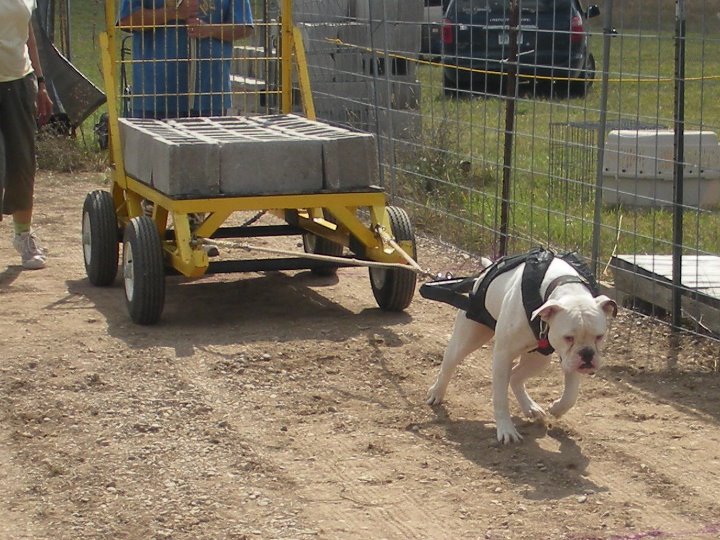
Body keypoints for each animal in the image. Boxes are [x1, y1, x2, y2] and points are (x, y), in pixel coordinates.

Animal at [424, 249, 616, 442]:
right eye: (568, 337)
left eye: (600, 336)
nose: (587, 354)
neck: (565, 287)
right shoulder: (503, 355)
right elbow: (500, 398)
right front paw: (506, 429)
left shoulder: (570, 360)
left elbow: (571, 395)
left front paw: (556, 408)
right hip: (467, 339)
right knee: (449, 363)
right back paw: (436, 392)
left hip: (539, 359)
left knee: (516, 376)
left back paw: (530, 407)